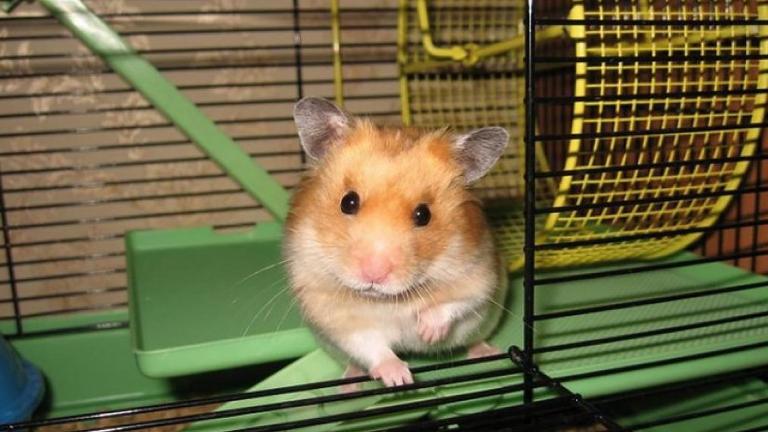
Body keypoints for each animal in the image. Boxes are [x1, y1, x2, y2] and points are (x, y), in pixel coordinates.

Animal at [284, 97, 508, 388]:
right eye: (348, 202)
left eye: (424, 215)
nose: (374, 274)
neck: (389, 300)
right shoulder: (333, 313)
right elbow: (370, 345)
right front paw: (400, 380)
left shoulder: (482, 274)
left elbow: (459, 301)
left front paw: (427, 332)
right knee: (354, 362)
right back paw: (349, 384)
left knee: (476, 339)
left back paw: (488, 353)